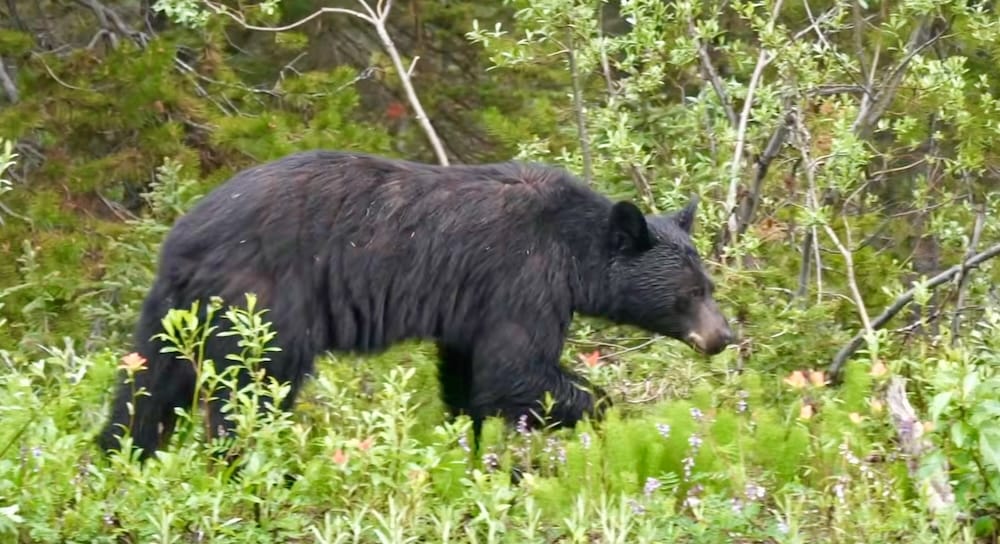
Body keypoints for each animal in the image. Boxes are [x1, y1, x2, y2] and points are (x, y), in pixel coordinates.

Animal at [96, 150, 734, 462]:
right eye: (691, 293)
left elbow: (470, 376)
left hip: (176, 312)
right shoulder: (522, 278)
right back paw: (250, 463)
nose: (724, 336)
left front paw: (472, 447)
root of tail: (183, 238)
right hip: (262, 302)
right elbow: (515, 370)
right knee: (253, 390)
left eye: (708, 283)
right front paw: (607, 415)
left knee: (147, 389)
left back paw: (122, 457)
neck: (572, 249)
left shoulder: (471, 308)